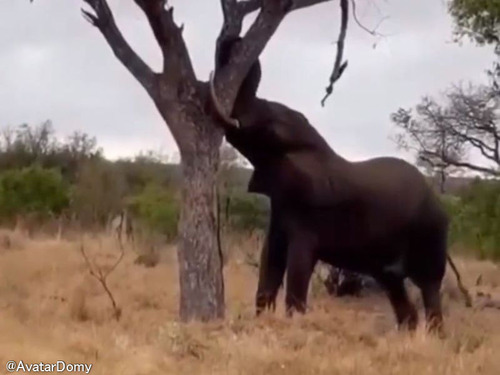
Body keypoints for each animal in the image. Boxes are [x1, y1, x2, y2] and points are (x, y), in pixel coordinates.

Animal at [206, 37, 468, 332]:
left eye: (270, 128)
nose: (233, 40)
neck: (314, 146)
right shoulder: (280, 205)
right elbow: (269, 261)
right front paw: (262, 322)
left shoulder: (310, 214)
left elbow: (297, 267)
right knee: (395, 286)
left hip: (430, 232)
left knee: (429, 286)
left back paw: (433, 336)